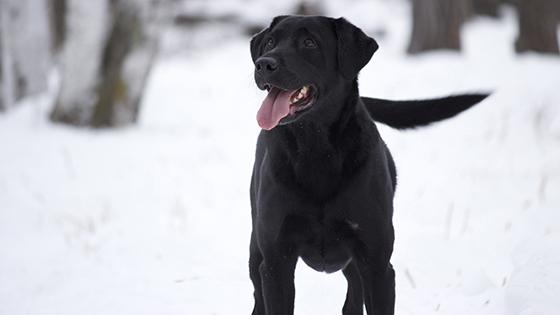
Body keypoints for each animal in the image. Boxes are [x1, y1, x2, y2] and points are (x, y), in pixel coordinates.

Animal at [247, 15, 488, 315]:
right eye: (270, 42)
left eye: (309, 43)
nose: (264, 64)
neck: (317, 151)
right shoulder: (276, 263)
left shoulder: (376, 264)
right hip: (256, 253)